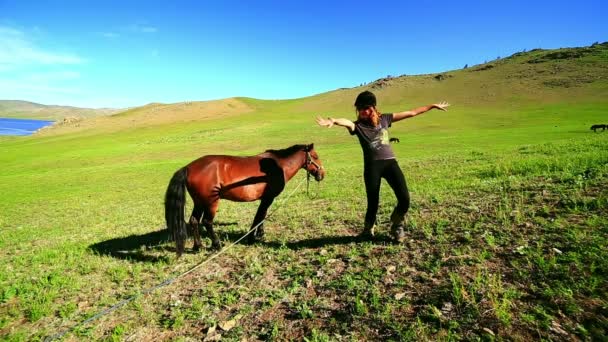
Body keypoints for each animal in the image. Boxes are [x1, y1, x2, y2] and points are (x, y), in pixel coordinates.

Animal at [162, 142, 324, 256]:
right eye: (315, 157)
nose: (322, 174)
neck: (277, 165)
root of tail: (188, 167)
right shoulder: (268, 198)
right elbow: (259, 217)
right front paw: (252, 237)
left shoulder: (265, 198)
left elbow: (262, 216)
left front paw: (259, 234)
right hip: (211, 202)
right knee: (207, 222)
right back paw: (217, 244)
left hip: (199, 202)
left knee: (194, 221)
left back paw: (198, 246)